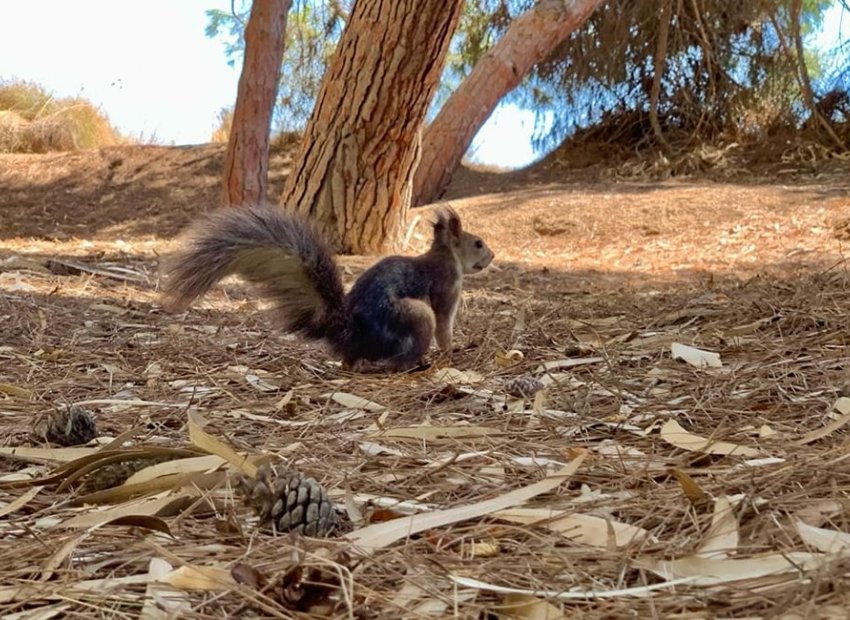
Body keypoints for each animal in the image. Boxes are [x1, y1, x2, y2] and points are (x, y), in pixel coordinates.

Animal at [161, 205, 494, 372]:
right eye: (477, 243)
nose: (491, 256)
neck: (446, 256)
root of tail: (353, 335)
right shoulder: (446, 289)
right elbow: (444, 327)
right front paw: (452, 352)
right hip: (414, 314)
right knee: (396, 361)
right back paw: (413, 365)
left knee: (351, 363)